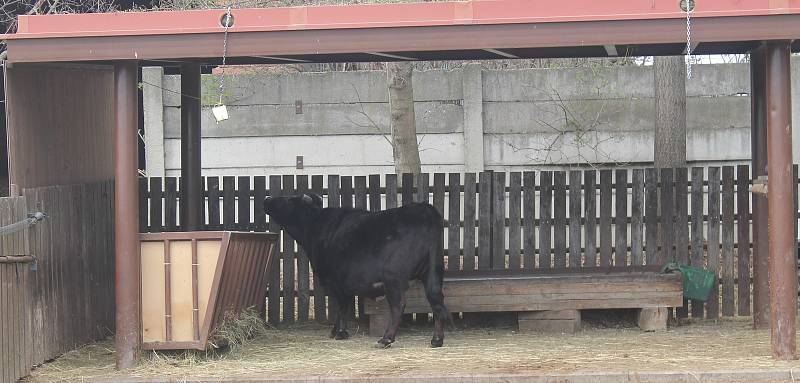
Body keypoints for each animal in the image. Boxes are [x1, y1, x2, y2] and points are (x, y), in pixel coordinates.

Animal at [262, 195, 450, 348]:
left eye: (288, 199)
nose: (267, 198)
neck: (315, 227)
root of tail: (424, 210)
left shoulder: (333, 280)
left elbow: (341, 306)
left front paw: (340, 332)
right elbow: (343, 306)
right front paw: (335, 331)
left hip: (394, 278)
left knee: (398, 305)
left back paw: (386, 339)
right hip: (432, 272)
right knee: (437, 301)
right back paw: (437, 339)